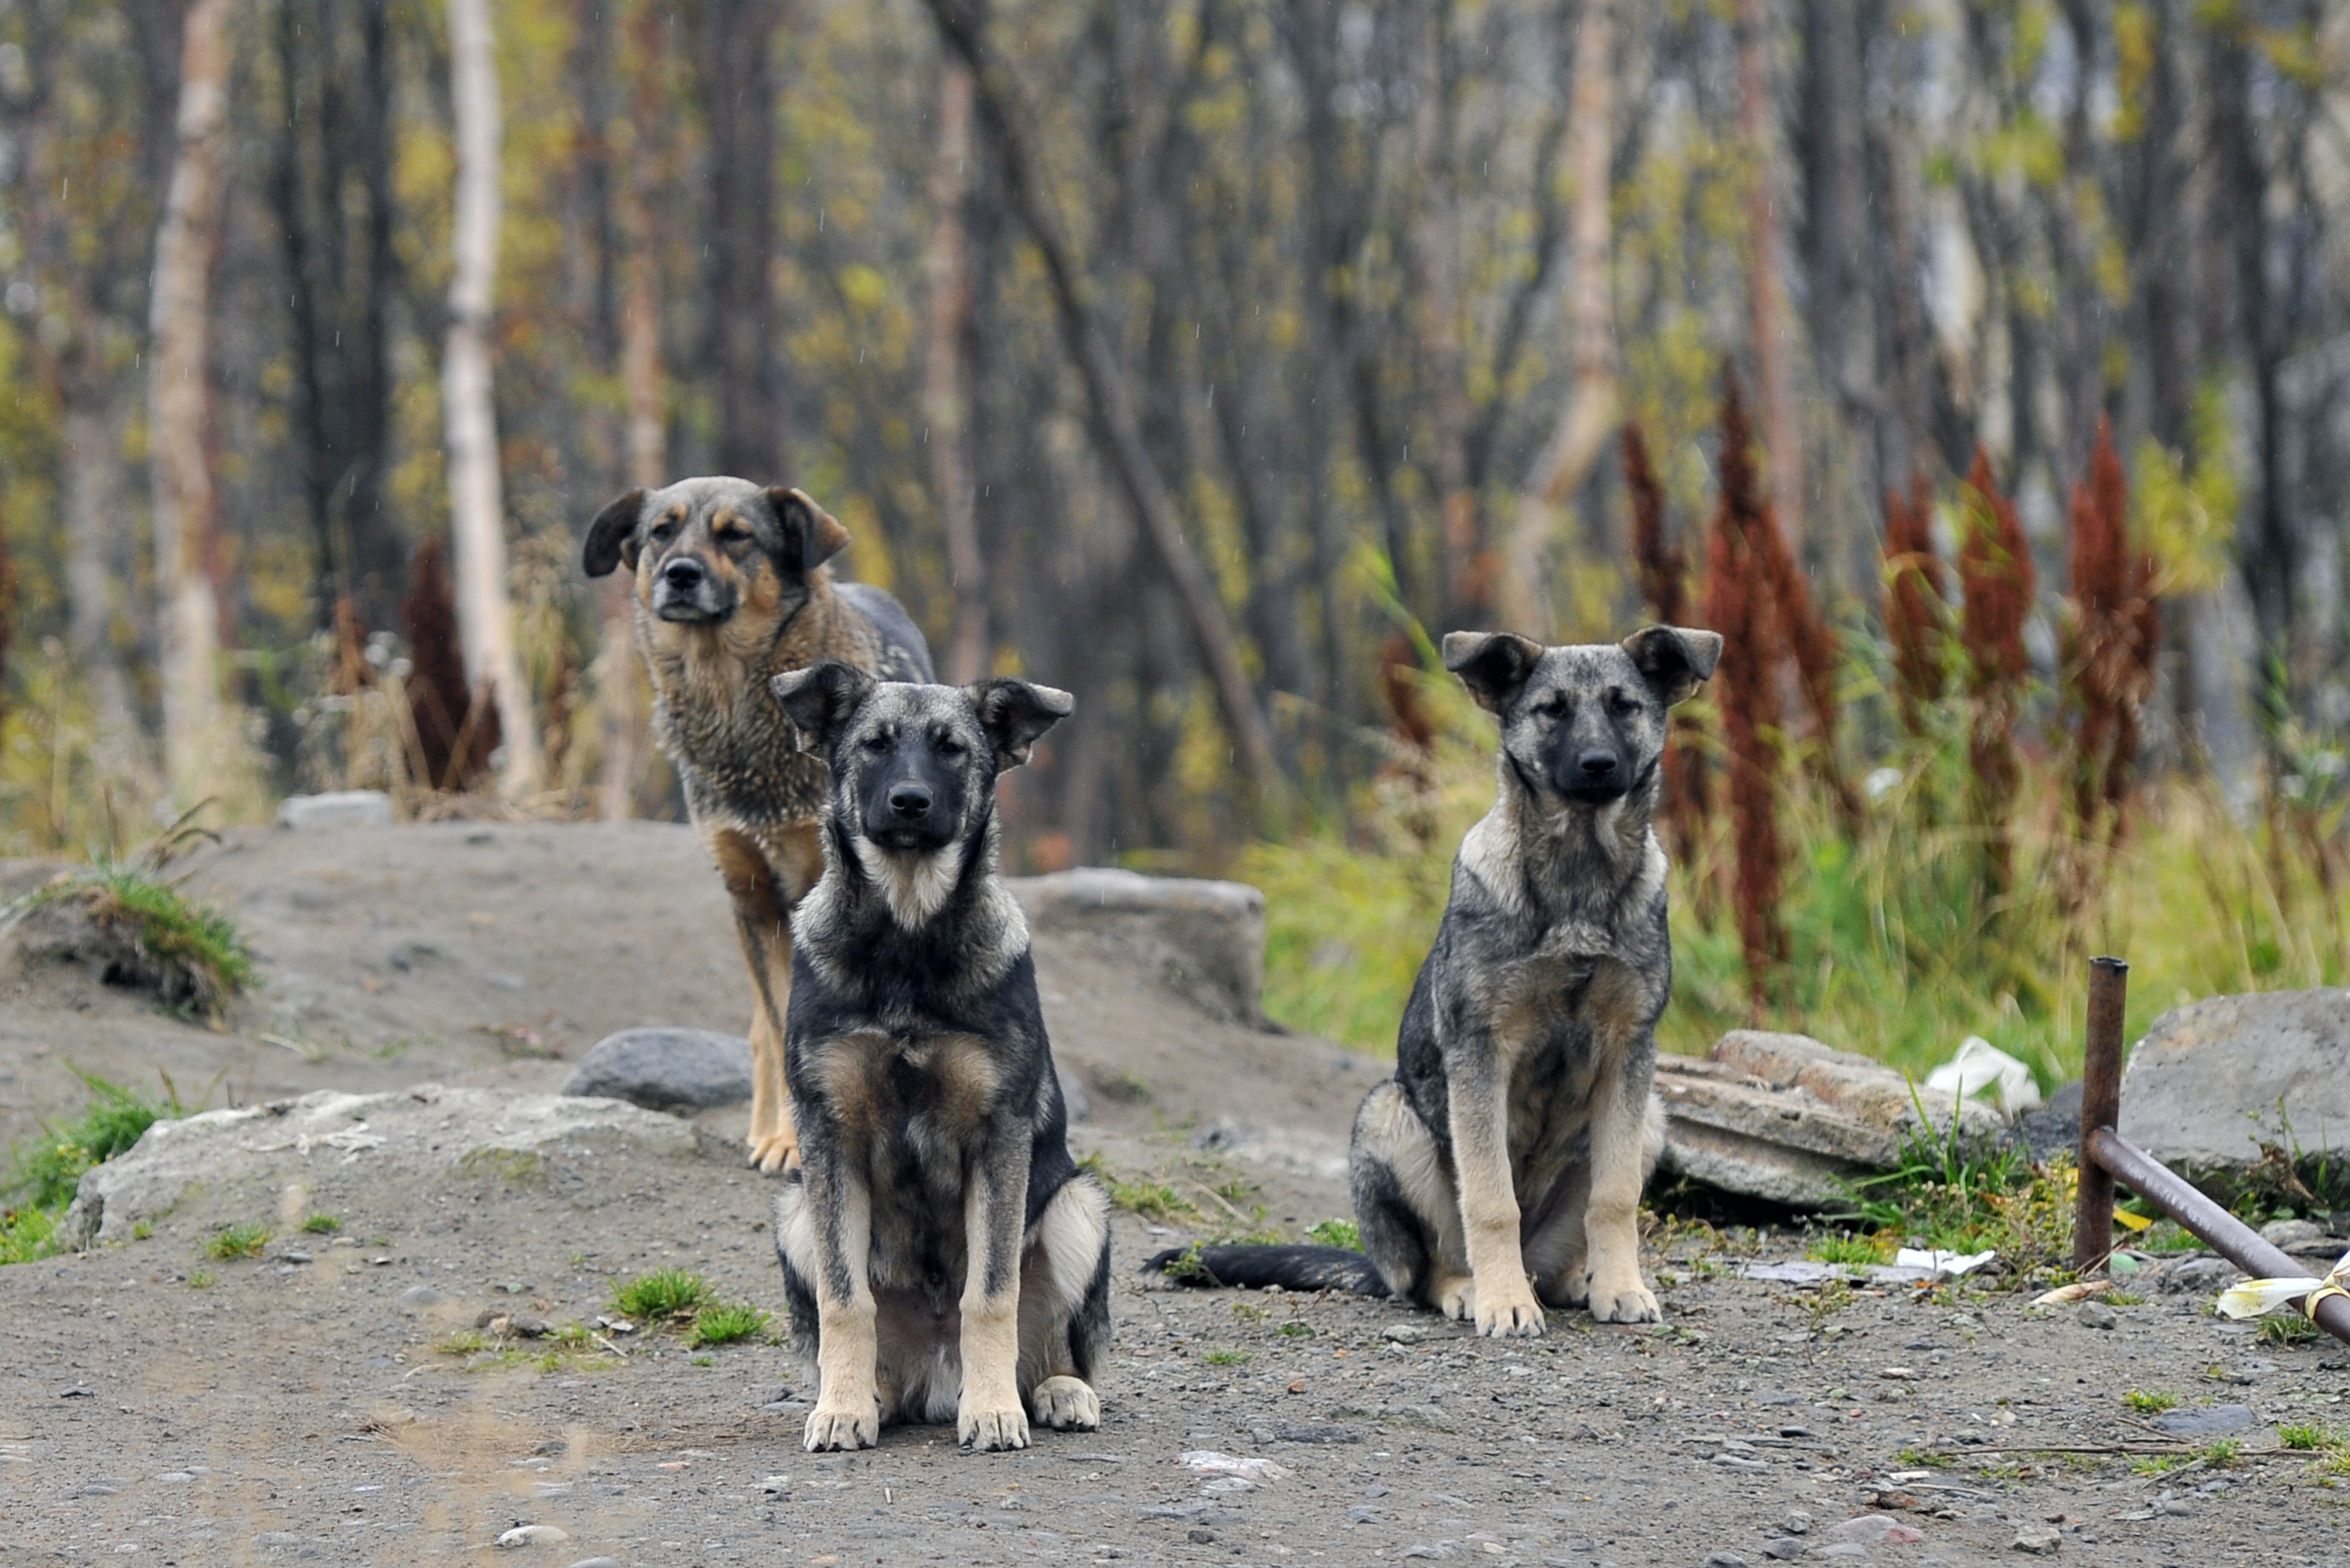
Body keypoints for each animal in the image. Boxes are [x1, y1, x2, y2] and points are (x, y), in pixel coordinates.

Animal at [582, 479, 930, 1175]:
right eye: (660, 531)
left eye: (736, 535)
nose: (679, 574)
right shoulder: (753, 896)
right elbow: (778, 1028)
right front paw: (789, 1140)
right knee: (765, 1032)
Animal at [761, 658, 1109, 1457]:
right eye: (875, 745)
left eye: (952, 750)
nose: (910, 803)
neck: (907, 936)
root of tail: (934, 1375)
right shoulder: (828, 1138)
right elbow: (844, 1299)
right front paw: (841, 1408)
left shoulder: (999, 1137)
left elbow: (991, 1294)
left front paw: (994, 1410)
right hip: (794, 1211)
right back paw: (872, 1395)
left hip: (1079, 1206)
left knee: (1054, 1344)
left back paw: (1053, 1391)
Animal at [1155, 624, 1729, 1335]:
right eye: (1553, 710)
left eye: (1625, 706)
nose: (1598, 764)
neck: (1577, 878)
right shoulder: (1480, 1051)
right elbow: (1490, 1198)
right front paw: (1504, 1303)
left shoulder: (1629, 1052)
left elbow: (1615, 1196)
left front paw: (1622, 1286)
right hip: (1387, 1114)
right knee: (1428, 1268)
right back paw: (1476, 1287)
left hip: (1651, 1114)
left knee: (1560, 1248)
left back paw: (1577, 1280)